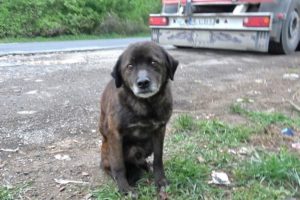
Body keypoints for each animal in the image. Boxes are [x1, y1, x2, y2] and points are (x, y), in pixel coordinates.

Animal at [99, 41, 178, 196]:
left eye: (154, 62)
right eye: (130, 66)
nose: (143, 83)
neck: (146, 104)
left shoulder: (160, 130)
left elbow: (158, 159)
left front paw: (160, 180)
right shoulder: (115, 134)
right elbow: (118, 165)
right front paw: (124, 188)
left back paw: (145, 166)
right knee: (110, 166)